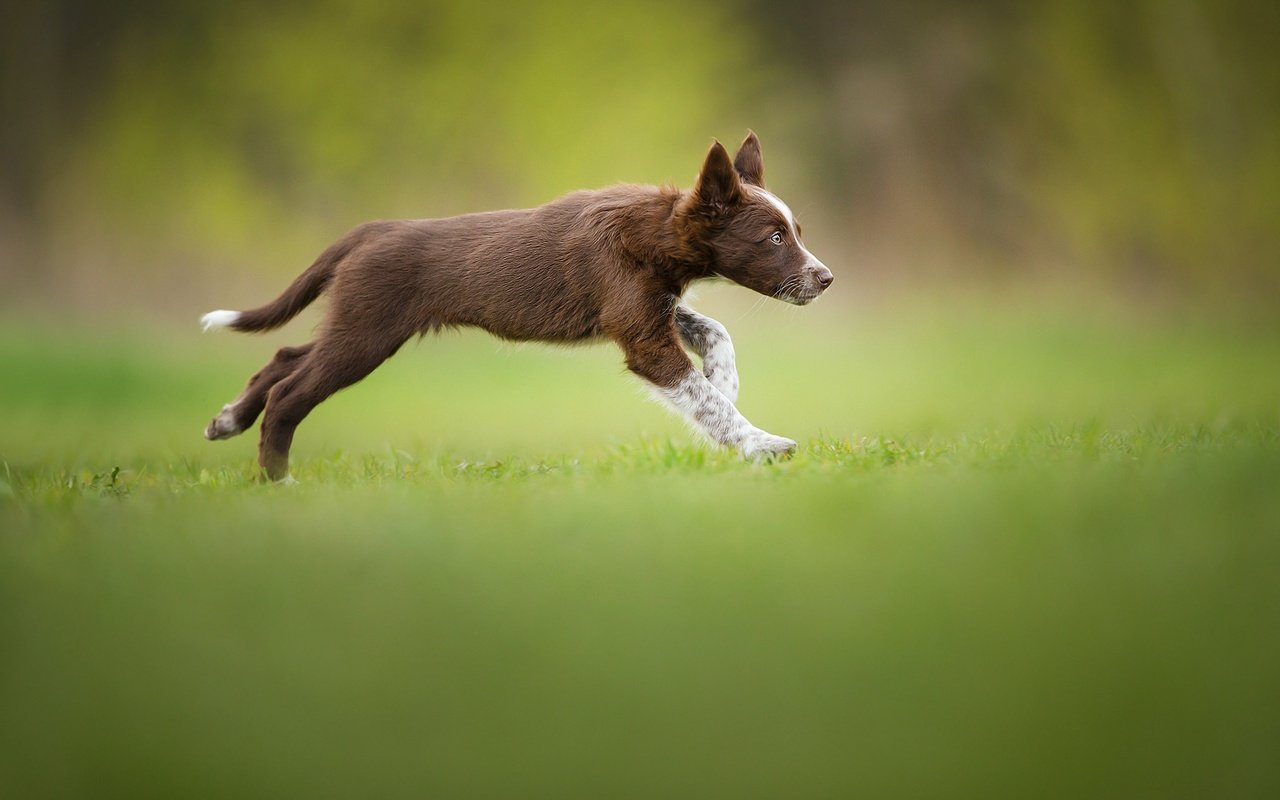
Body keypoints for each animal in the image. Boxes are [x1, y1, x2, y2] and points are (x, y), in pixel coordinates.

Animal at [200, 132, 834, 481]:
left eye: (796, 232)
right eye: (775, 238)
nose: (826, 279)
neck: (656, 229)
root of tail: (372, 230)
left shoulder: (647, 309)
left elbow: (713, 330)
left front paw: (725, 378)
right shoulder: (641, 333)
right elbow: (704, 400)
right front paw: (760, 443)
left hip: (355, 319)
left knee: (286, 354)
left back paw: (228, 419)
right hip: (367, 332)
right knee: (291, 392)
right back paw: (278, 483)